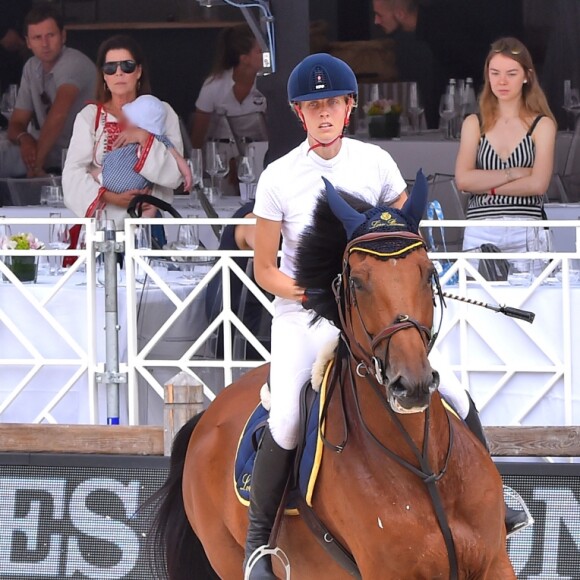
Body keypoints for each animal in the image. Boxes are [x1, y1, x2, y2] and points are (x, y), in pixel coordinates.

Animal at [147, 173, 516, 580]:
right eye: (357, 282)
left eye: (427, 271)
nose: (412, 385)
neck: (423, 465)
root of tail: (204, 419)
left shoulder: (496, 563)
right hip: (226, 555)